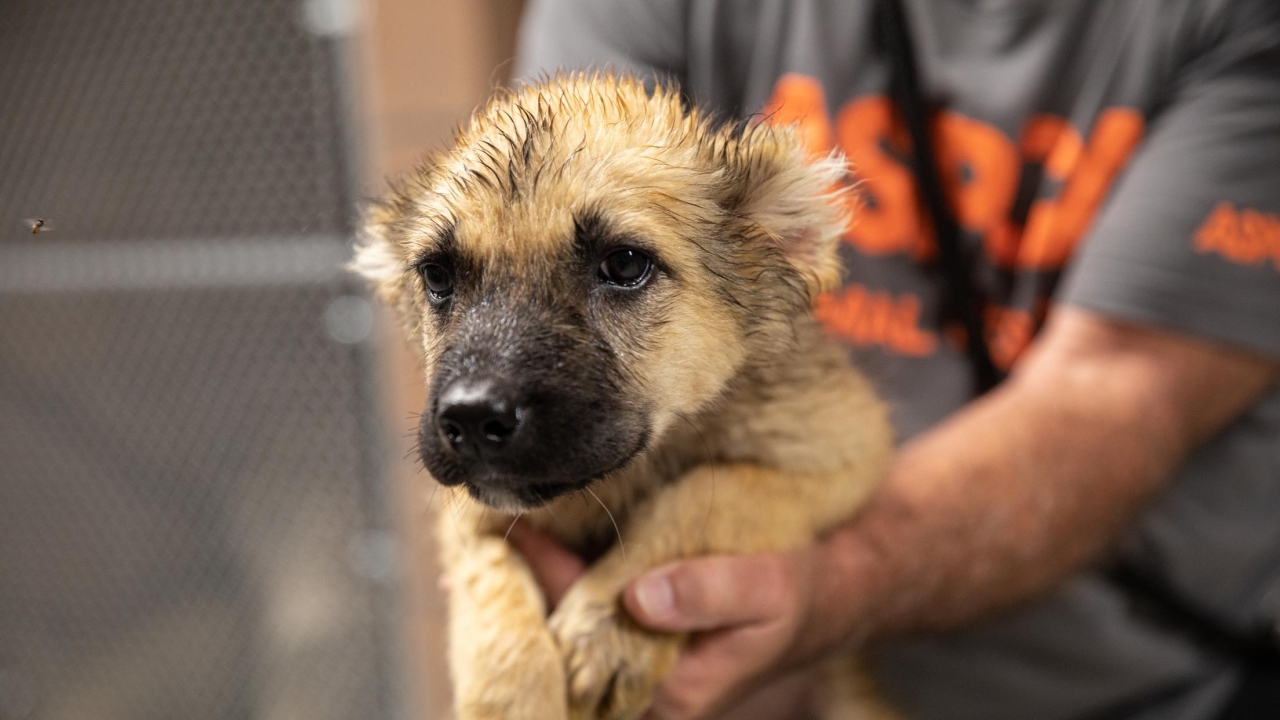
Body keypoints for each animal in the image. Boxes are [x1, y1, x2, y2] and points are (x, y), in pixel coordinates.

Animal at [350, 73, 890, 717]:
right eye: (436, 275)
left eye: (626, 264)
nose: (473, 418)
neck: (612, 483)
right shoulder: (465, 510)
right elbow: (490, 580)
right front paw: (512, 695)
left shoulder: (844, 453)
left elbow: (707, 496)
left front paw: (609, 632)